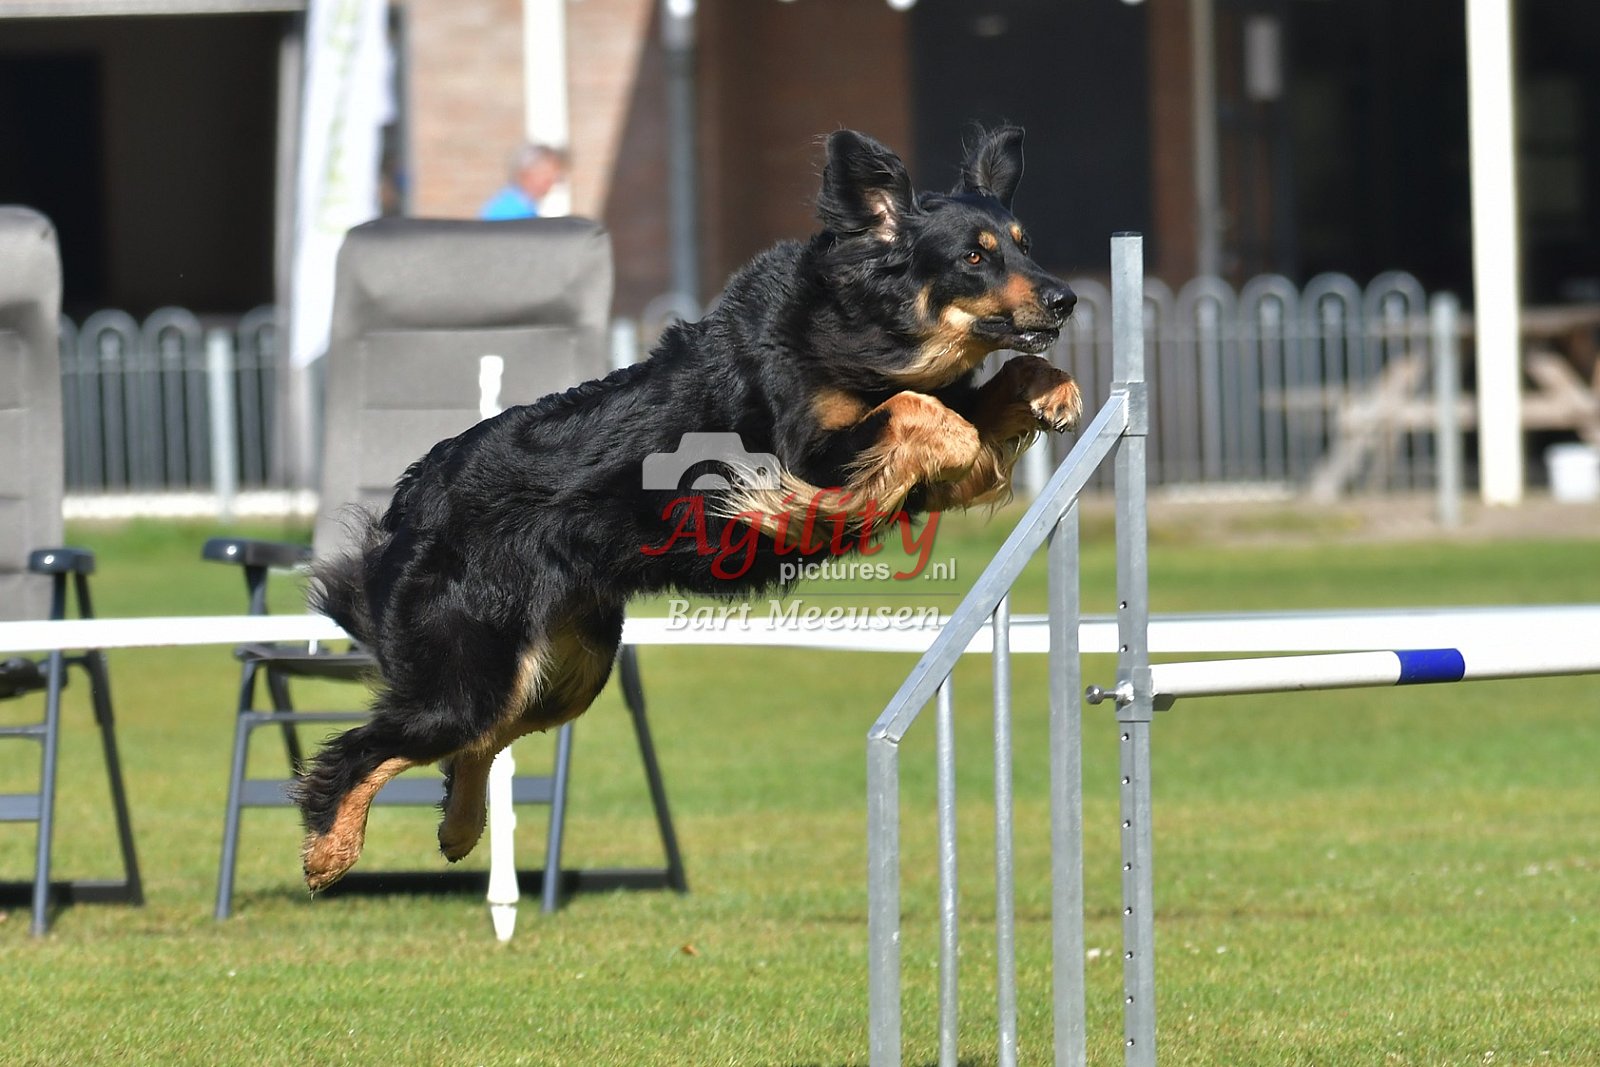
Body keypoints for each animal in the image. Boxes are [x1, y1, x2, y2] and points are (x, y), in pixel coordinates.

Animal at [296, 125, 1083, 891]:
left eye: (1022, 243)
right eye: (974, 257)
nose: (1065, 299)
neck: (861, 323)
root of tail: (416, 493)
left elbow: (992, 387)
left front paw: (1054, 390)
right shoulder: (809, 461)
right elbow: (919, 409)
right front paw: (954, 435)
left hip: (568, 670)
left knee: (477, 741)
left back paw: (457, 831)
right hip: (473, 666)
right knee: (372, 745)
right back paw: (330, 851)